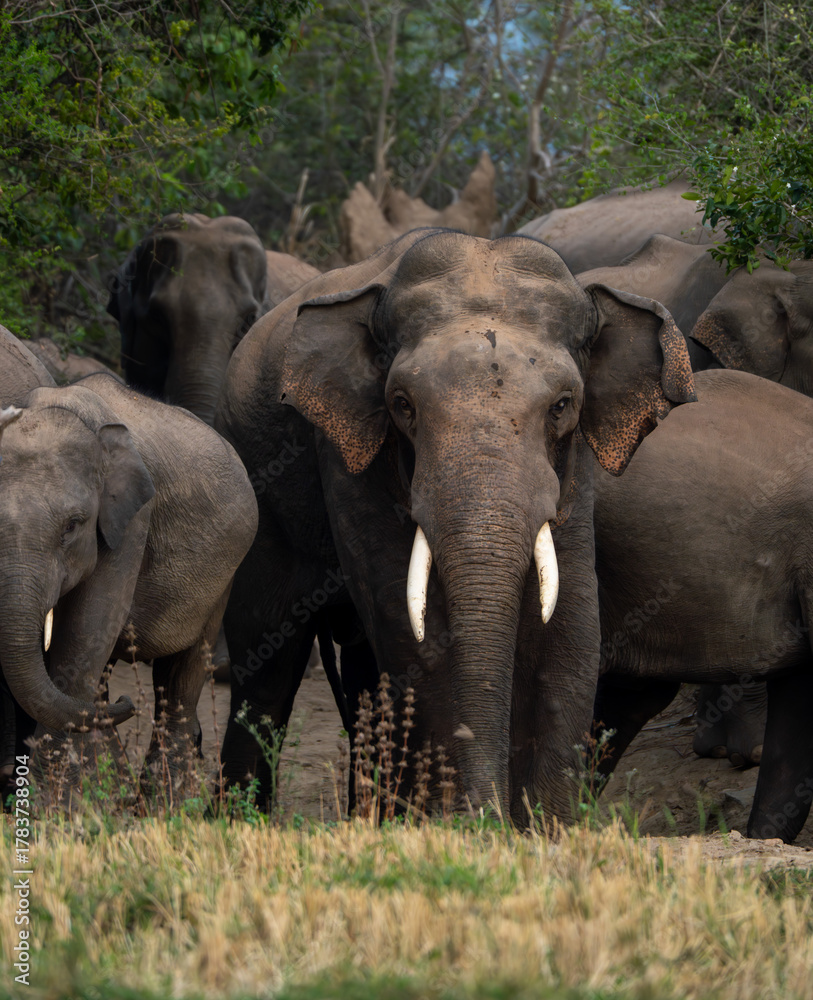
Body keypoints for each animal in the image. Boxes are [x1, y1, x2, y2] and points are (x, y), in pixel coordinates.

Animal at [0, 363, 258, 795]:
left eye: (73, 525)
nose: (127, 702)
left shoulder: (132, 521)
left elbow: (83, 638)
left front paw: (50, 807)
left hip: (227, 575)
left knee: (182, 676)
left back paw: (161, 800)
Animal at [215, 227, 696, 819]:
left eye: (563, 405)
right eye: (402, 405)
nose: (488, 811)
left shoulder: (574, 469)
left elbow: (572, 617)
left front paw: (544, 825)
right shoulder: (347, 454)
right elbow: (402, 613)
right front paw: (462, 821)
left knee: (359, 672)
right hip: (254, 484)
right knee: (266, 662)